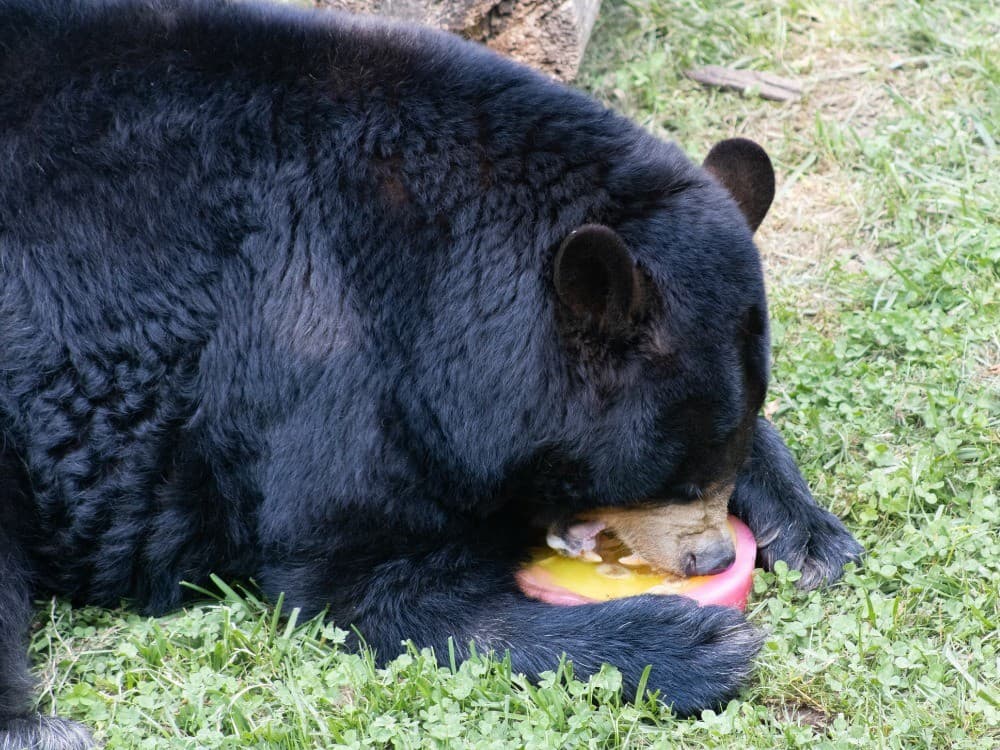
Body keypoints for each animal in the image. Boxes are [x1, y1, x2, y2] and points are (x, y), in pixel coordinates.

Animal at [0, 0, 863, 747]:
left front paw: (809, 533)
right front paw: (687, 643)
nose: (712, 560)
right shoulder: (319, 353)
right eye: (674, 477)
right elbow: (365, 580)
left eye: (719, 456)